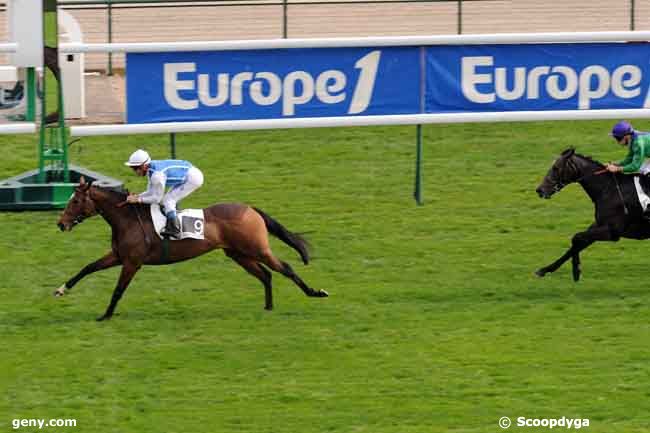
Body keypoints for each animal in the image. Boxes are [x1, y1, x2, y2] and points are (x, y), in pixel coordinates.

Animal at [55, 176, 326, 320]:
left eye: (76, 201)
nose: (61, 223)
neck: (128, 219)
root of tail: (250, 208)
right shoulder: (118, 255)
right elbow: (88, 267)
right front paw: (61, 289)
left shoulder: (132, 262)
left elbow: (118, 290)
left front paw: (106, 315)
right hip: (238, 254)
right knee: (266, 275)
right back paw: (268, 307)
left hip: (257, 249)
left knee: (285, 267)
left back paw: (315, 292)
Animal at [536, 148, 650, 280]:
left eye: (556, 168)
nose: (539, 190)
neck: (609, 189)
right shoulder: (599, 225)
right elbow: (577, 242)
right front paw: (545, 269)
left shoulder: (612, 231)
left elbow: (577, 237)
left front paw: (576, 270)